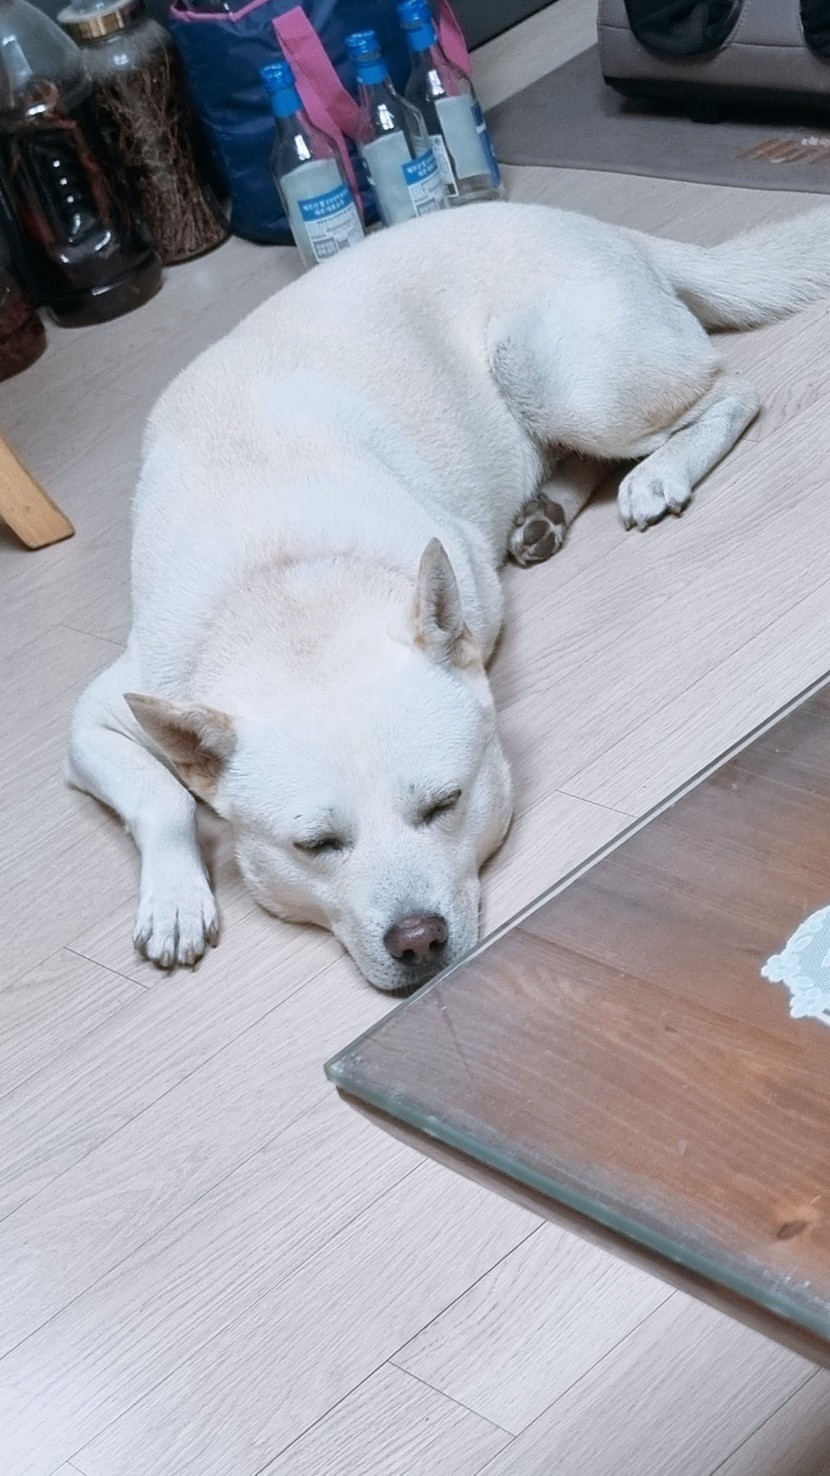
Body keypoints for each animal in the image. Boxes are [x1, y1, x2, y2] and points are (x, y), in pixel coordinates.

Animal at [68, 200, 830, 990]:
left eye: (445, 805)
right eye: (315, 845)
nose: (417, 941)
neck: (284, 588)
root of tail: (596, 225)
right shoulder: (96, 717)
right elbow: (161, 797)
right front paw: (175, 898)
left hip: (556, 379)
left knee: (729, 391)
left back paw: (660, 473)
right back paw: (542, 514)